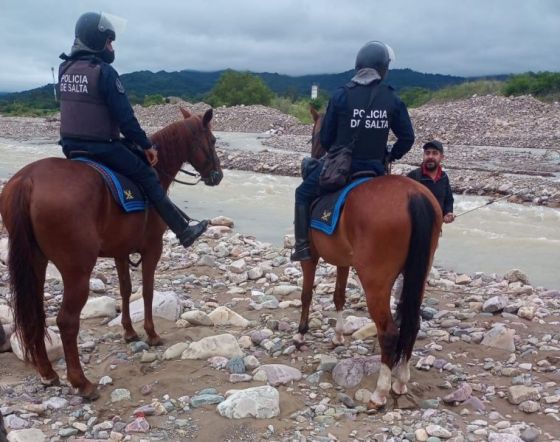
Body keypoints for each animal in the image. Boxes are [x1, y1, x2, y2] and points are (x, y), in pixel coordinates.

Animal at [0, 108, 223, 400]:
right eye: (213, 140)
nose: (218, 176)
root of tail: (28, 181)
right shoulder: (153, 249)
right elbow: (147, 291)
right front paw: (151, 334)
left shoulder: (120, 252)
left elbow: (126, 290)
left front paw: (129, 332)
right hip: (77, 271)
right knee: (66, 321)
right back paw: (81, 382)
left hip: (35, 263)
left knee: (34, 315)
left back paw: (48, 373)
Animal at [296, 109, 444, 410]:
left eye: (314, 135)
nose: (315, 155)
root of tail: (413, 195)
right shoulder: (343, 260)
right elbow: (339, 296)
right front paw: (338, 335)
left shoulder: (311, 258)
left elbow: (307, 294)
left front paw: (300, 333)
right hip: (418, 275)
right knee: (412, 324)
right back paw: (400, 381)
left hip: (376, 281)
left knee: (388, 332)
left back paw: (380, 391)